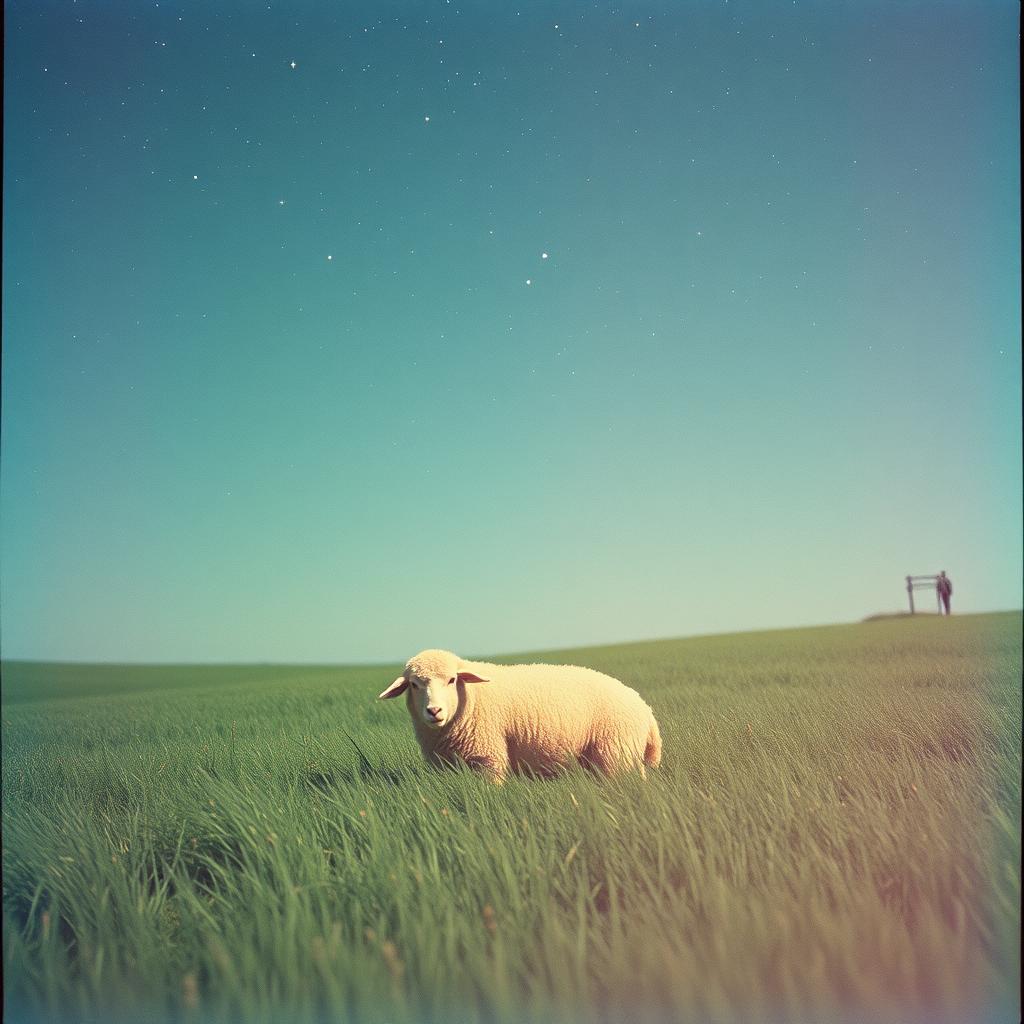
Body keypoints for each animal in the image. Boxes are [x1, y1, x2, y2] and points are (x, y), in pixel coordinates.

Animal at [377, 649, 662, 782]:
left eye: (451, 680)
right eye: (414, 684)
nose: (434, 711)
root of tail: (645, 709)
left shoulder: (488, 757)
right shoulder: (444, 766)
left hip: (615, 752)